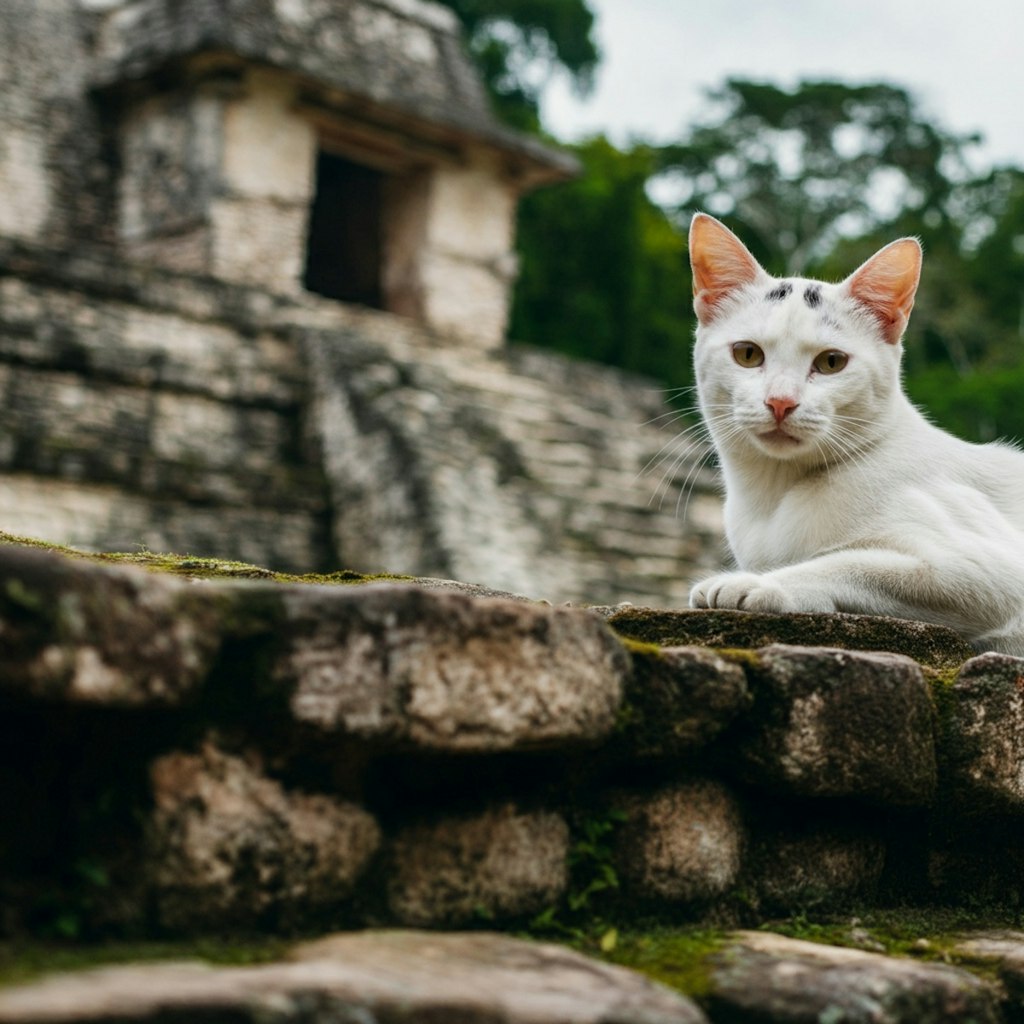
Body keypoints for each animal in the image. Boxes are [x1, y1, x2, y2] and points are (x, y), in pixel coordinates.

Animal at [684, 214, 1024, 655]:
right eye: (748, 354)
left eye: (831, 362)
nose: (780, 402)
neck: (773, 497)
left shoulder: (990, 573)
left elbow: (844, 563)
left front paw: (754, 584)